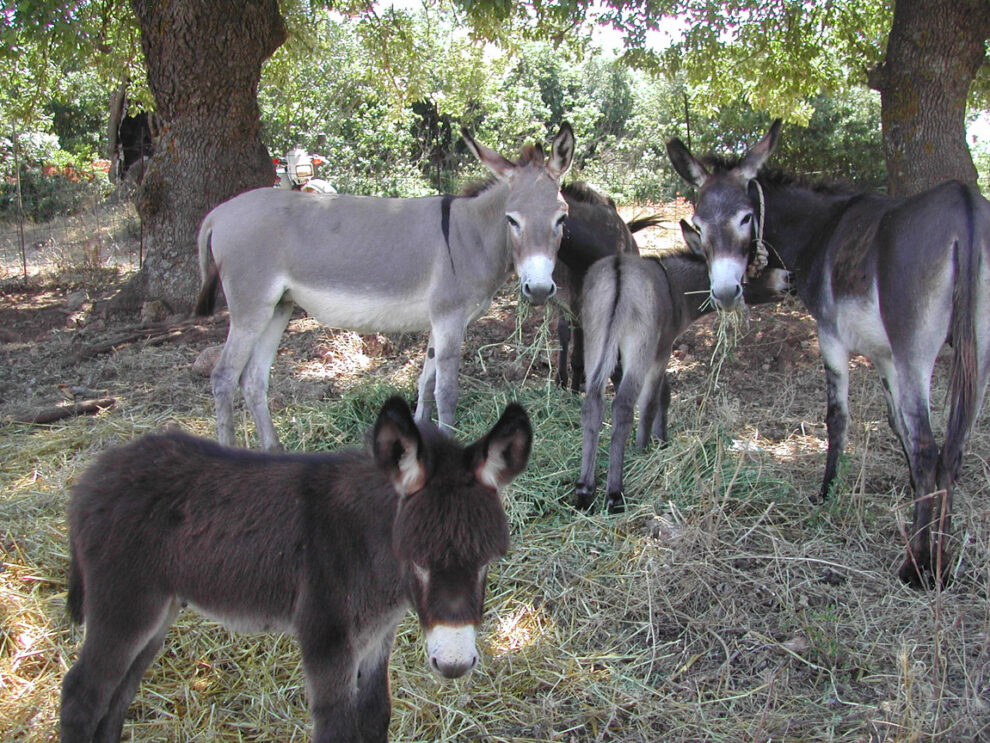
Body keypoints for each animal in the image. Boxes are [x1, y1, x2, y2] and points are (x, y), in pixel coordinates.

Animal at [58, 398, 532, 743]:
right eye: (417, 561)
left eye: (486, 563)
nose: (453, 664)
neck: (365, 544)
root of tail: (91, 478)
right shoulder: (326, 638)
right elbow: (337, 729)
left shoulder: (377, 635)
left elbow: (375, 716)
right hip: (124, 606)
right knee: (82, 695)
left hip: (158, 611)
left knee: (116, 697)